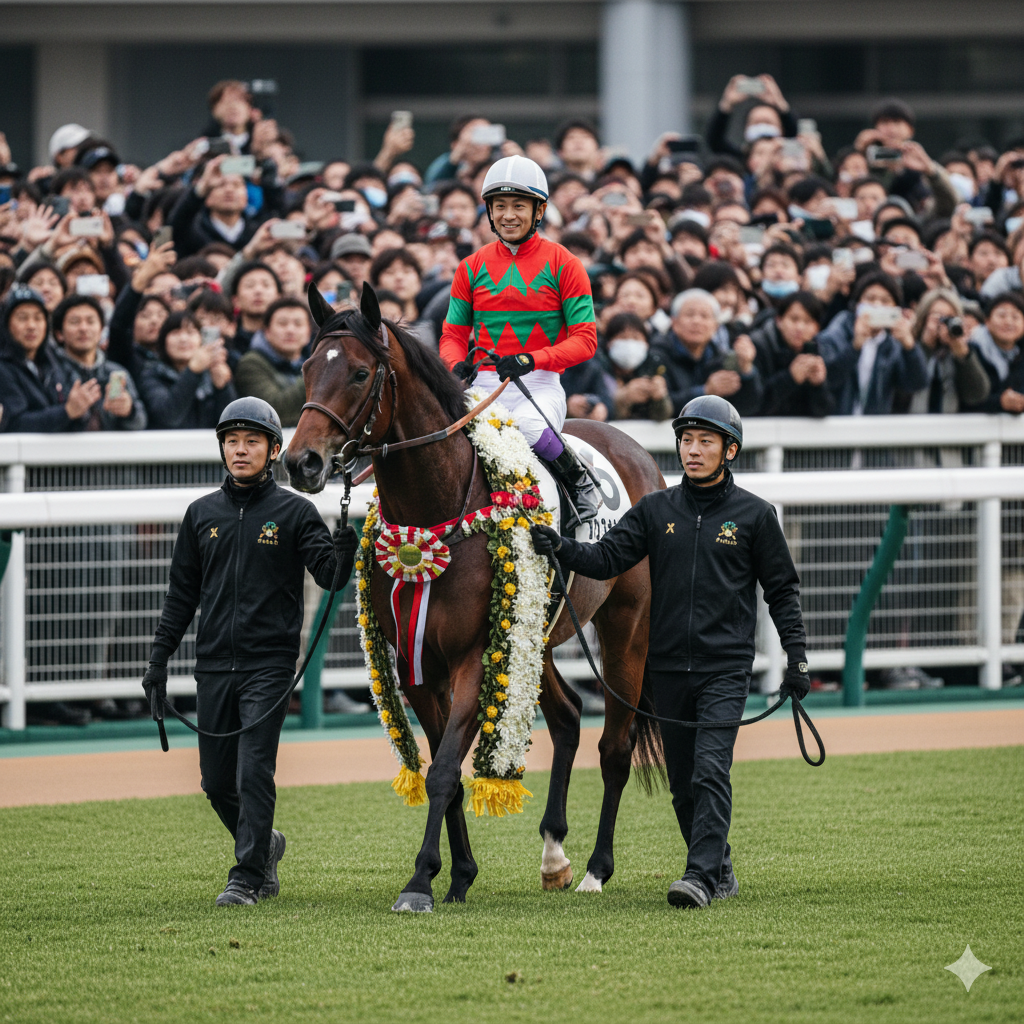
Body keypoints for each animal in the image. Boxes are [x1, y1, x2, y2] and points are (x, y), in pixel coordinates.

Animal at [285, 282, 666, 911]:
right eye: (307, 369)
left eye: (361, 373)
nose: (301, 461)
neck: (437, 512)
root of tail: (638, 451)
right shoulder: (417, 662)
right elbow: (446, 772)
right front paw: (459, 873)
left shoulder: (472, 656)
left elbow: (443, 770)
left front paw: (421, 881)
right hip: (534, 630)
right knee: (568, 717)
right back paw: (554, 856)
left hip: (625, 628)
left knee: (615, 746)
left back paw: (595, 868)